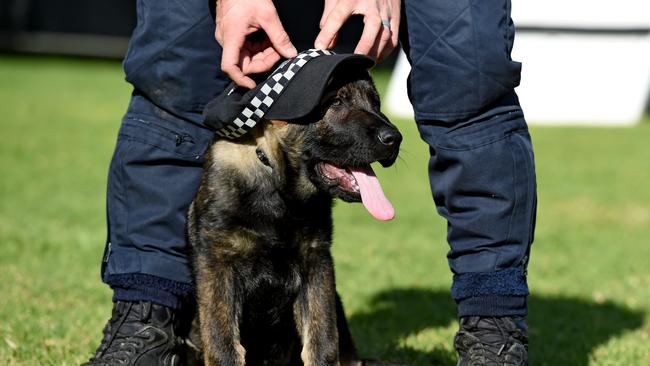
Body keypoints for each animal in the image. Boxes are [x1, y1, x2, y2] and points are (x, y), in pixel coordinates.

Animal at [186, 65, 400, 366]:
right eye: (336, 102)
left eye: (376, 103)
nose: (395, 139)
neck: (279, 189)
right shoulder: (217, 263)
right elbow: (223, 345)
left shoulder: (316, 263)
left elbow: (322, 342)